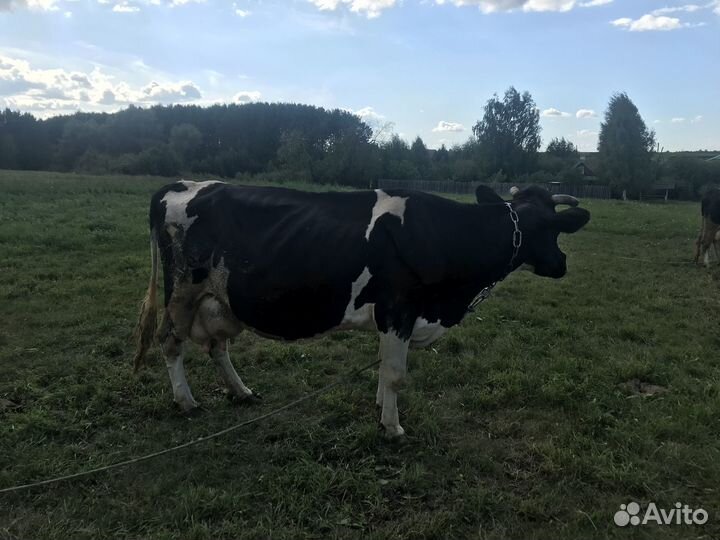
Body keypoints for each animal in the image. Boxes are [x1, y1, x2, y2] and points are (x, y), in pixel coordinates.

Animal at [134, 181, 590, 438]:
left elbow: (383, 370)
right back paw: (186, 401)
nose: (563, 264)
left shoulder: (395, 317)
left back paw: (241, 392)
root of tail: (180, 183)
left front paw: (379, 410)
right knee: (170, 341)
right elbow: (396, 374)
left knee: (216, 347)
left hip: (220, 299)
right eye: (552, 228)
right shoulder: (398, 308)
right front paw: (392, 427)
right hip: (183, 291)